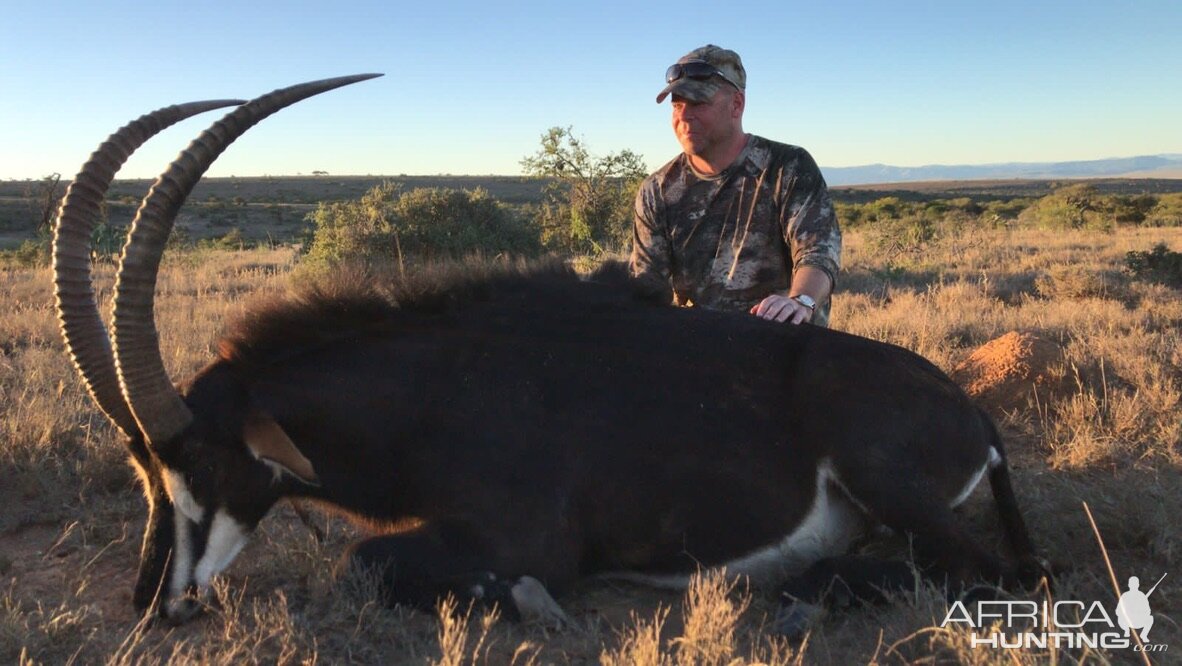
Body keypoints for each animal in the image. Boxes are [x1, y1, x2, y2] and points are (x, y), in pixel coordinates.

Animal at [53, 75, 1044, 634]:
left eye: (204, 464)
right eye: (144, 472)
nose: (156, 605)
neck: (433, 394)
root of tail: (972, 409)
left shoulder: (527, 537)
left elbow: (363, 562)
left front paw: (534, 604)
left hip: (886, 476)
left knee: (995, 571)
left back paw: (802, 591)